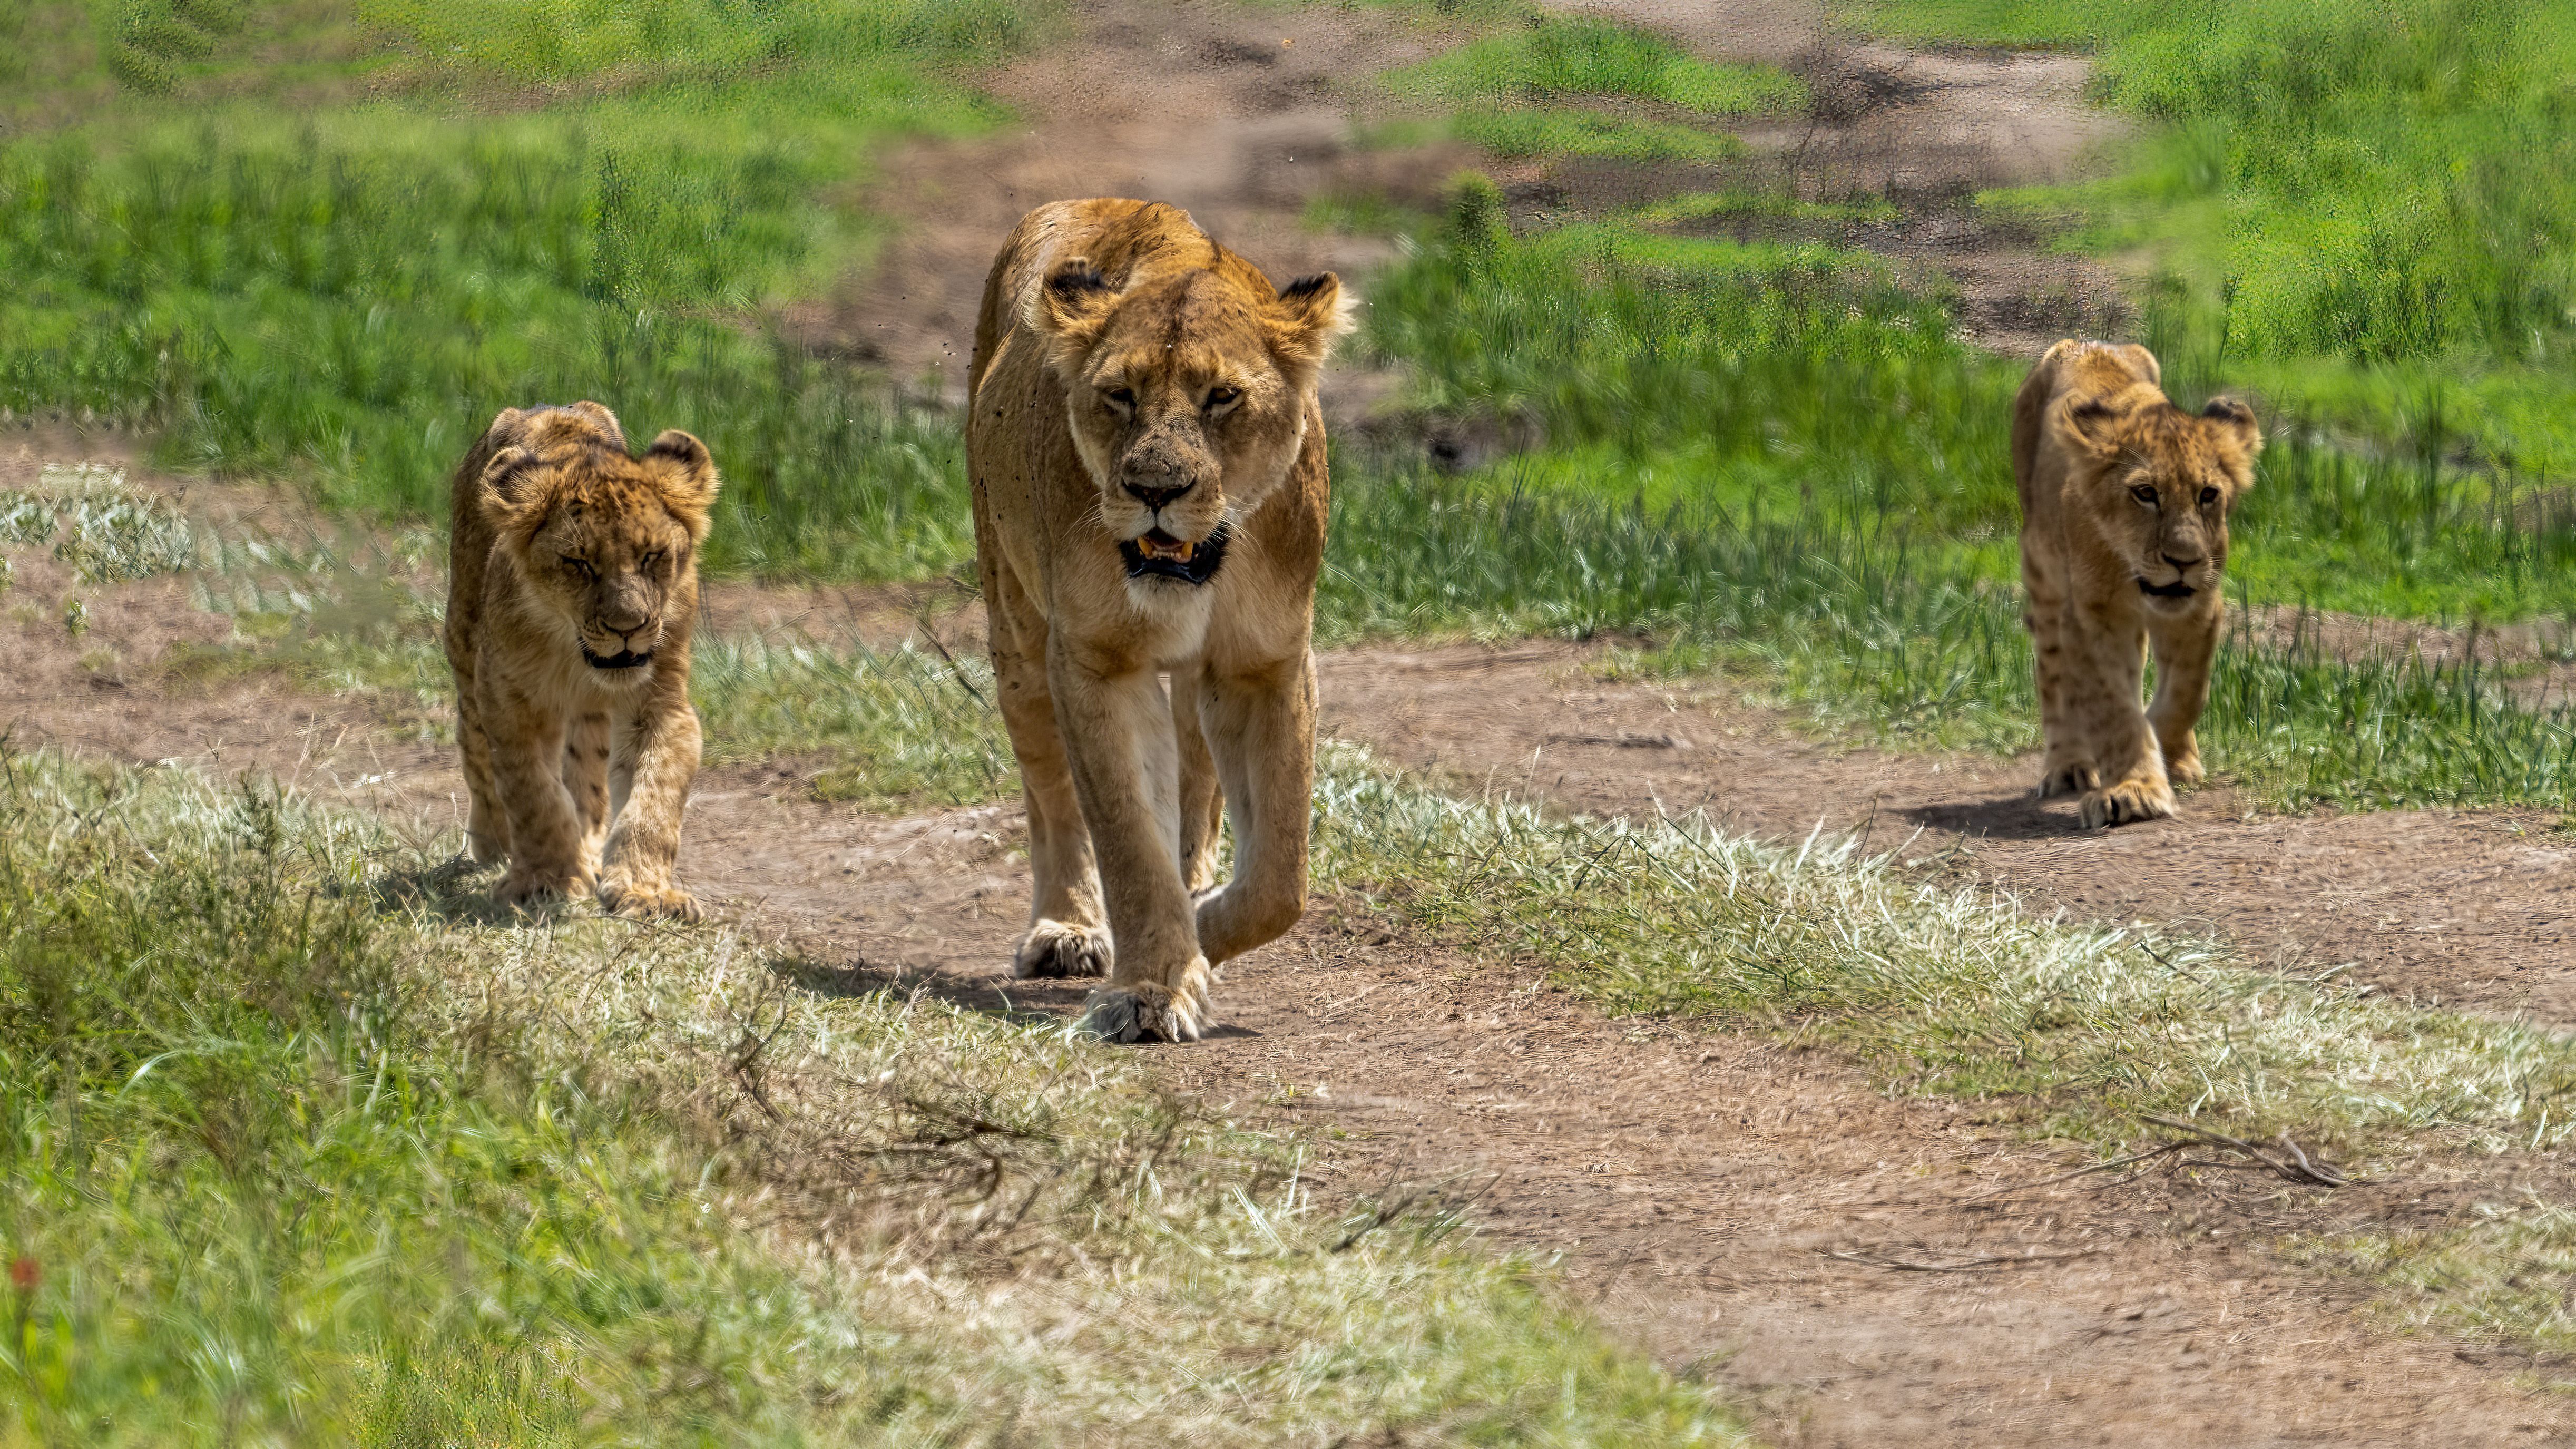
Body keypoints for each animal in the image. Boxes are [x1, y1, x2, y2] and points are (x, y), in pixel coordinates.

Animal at [444, 401, 719, 918]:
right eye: (579, 563)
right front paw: (545, 882)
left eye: (652, 556)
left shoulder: (663, 703)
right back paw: (494, 844)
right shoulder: (508, 700)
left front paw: (645, 891)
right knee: (476, 749)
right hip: (465, 648)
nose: (627, 627)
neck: (573, 653)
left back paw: (589, 849)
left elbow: (655, 799)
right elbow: (533, 794)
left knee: (587, 770)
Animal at [965, 198, 1354, 1043]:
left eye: (1222, 397)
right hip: (1017, 636)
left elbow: (1281, 874)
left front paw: (1199, 935)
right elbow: (1125, 838)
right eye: (1120, 395)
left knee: (1197, 793)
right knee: (1051, 795)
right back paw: (1069, 929)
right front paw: (1151, 986)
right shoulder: (1096, 659)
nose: (1153, 488)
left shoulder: (1264, 664)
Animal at [2013, 340, 2261, 829]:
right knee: (2051, 675)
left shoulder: (2200, 606)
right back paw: (2067, 767)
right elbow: (2113, 709)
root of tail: (2081, 343)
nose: (2184, 561)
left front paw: (2167, 753)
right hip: (2042, 574)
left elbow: (2186, 692)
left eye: (2208, 495)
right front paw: (2134, 791)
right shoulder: (2090, 617)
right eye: (2145, 493)